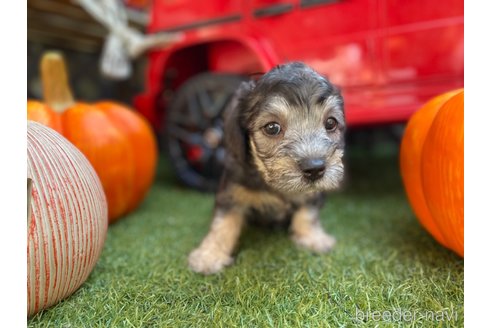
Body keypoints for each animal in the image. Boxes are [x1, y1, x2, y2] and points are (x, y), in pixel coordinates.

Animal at [188, 61, 346, 274]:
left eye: (330, 123)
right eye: (272, 128)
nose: (315, 169)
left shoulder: (313, 194)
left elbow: (307, 211)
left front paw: (312, 237)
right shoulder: (232, 191)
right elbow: (223, 222)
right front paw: (209, 255)